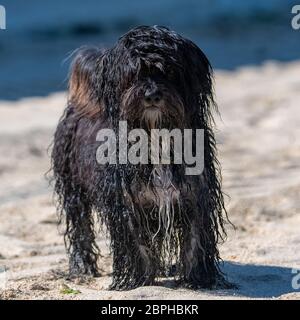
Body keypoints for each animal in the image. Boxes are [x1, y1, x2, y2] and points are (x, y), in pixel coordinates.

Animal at [51, 25, 231, 290]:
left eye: (170, 72)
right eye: (133, 74)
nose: (152, 95)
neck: (155, 134)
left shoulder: (195, 194)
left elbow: (194, 241)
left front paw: (197, 279)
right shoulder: (127, 202)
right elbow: (137, 245)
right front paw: (140, 280)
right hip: (73, 186)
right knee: (80, 226)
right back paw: (83, 267)